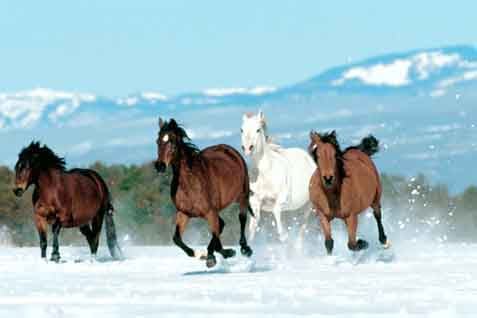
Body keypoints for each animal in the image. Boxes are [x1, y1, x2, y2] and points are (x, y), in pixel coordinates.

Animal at [155, 118, 253, 268]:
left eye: (172, 141)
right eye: (158, 141)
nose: (159, 166)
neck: (190, 183)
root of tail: (229, 149)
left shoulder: (210, 212)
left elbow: (215, 233)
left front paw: (211, 257)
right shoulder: (184, 213)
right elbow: (177, 238)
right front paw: (198, 254)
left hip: (243, 195)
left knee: (241, 219)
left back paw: (245, 249)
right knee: (221, 226)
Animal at [242, 110, 316, 242]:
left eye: (258, 130)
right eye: (242, 129)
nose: (247, 148)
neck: (266, 174)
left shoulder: (283, 199)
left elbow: (276, 211)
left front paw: (283, 236)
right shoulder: (255, 203)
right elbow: (252, 229)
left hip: (307, 206)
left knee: (302, 226)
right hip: (292, 210)